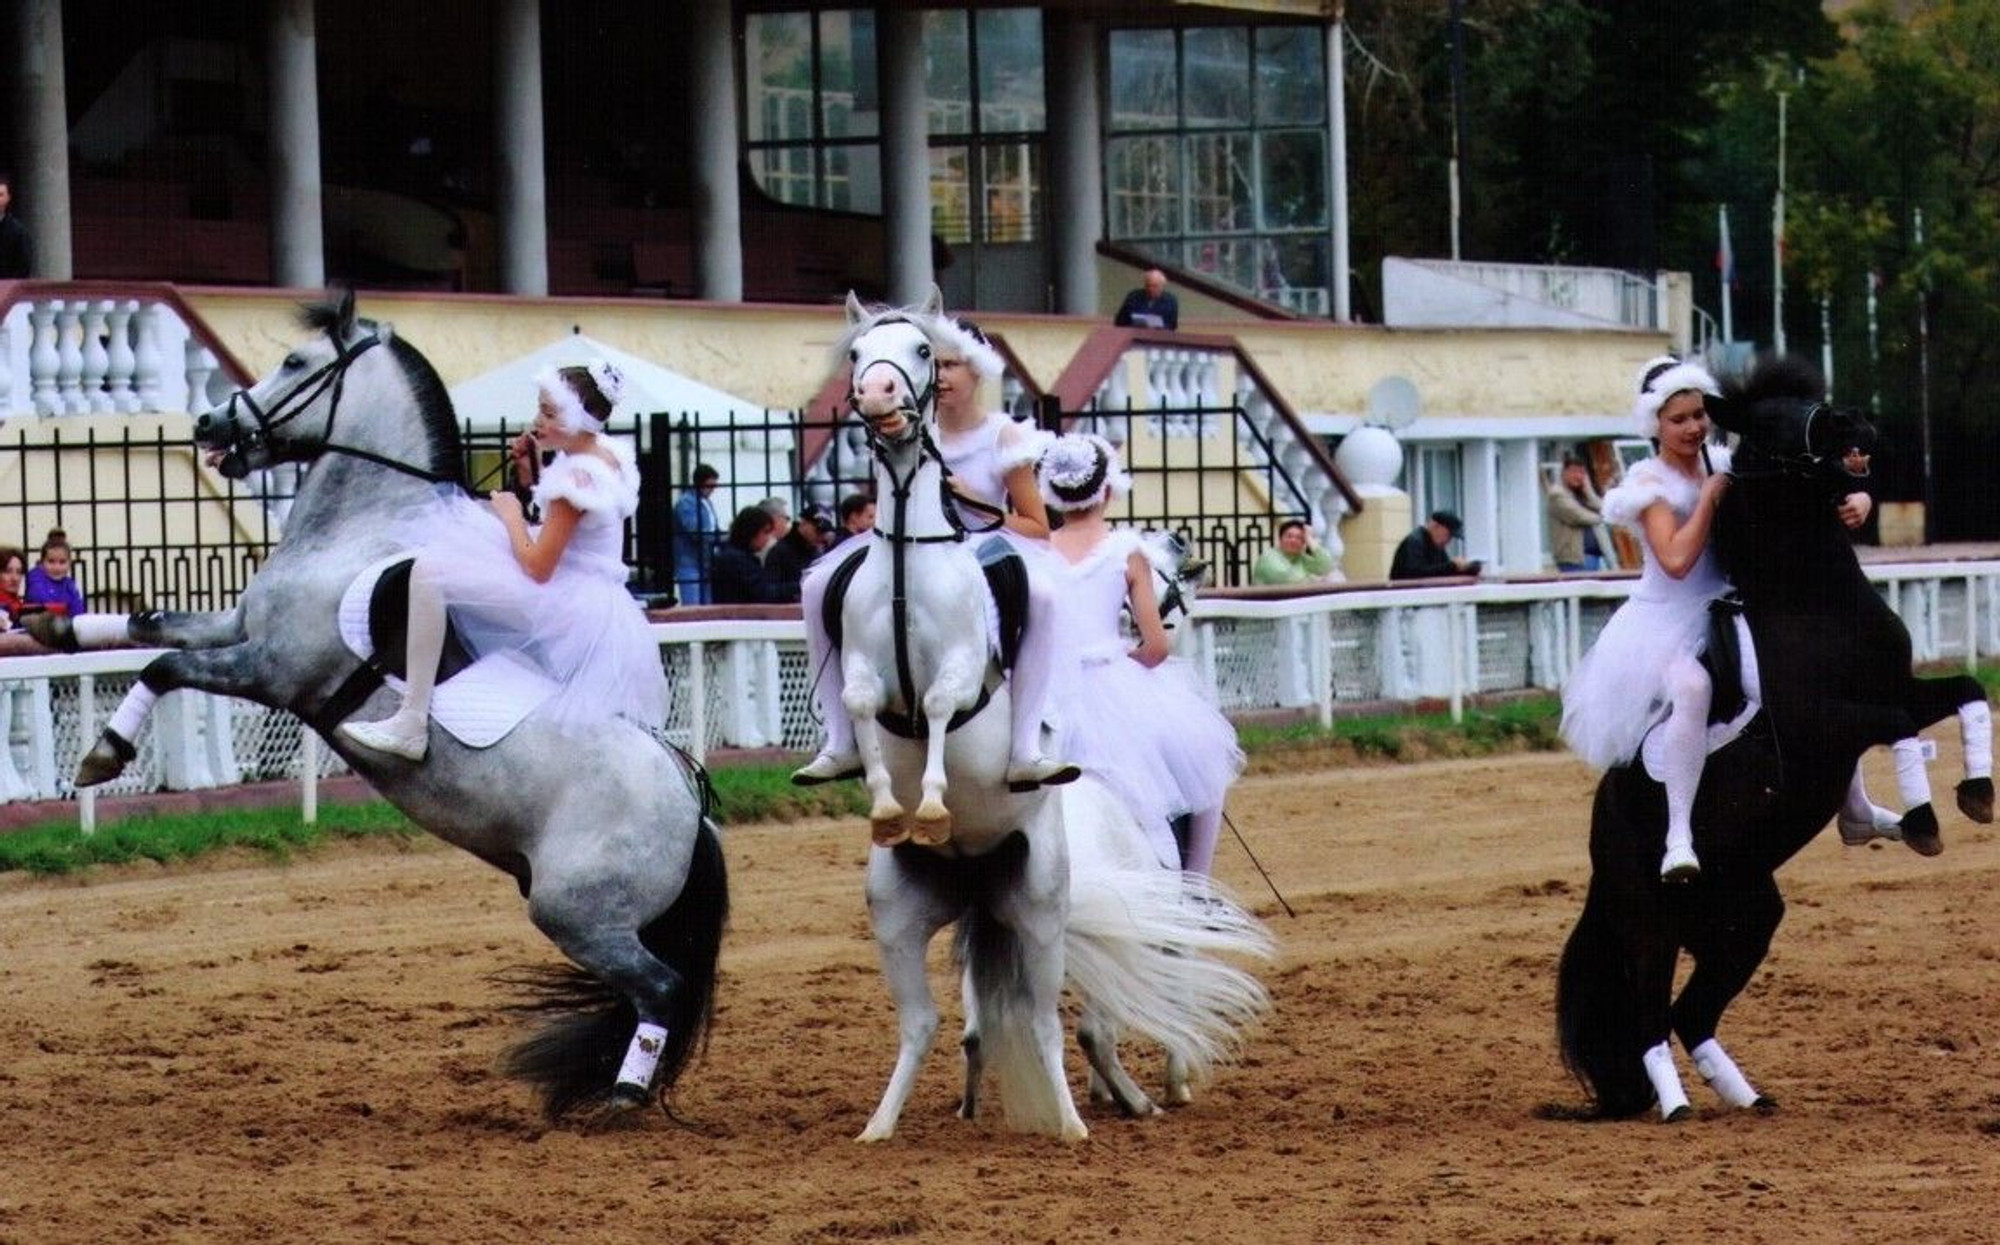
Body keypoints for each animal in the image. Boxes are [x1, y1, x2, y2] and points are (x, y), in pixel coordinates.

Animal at [1552, 356, 1992, 1128]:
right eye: (1767, 424)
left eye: (1809, 399)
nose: (1854, 423)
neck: (1812, 600)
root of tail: (1602, 830)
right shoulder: (1828, 723)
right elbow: (1899, 727)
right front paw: (1923, 819)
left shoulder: (1900, 687)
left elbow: (1967, 689)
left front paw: (1976, 789)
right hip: (1648, 920)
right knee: (1650, 1017)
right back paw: (1675, 1104)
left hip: (1747, 918)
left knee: (1690, 1014)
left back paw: (1748, 1096)